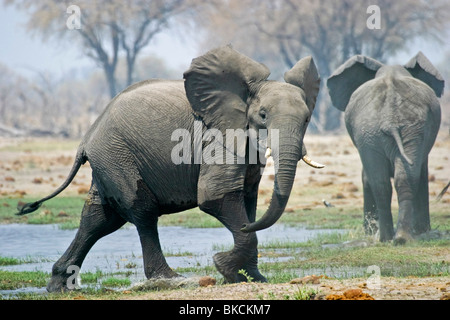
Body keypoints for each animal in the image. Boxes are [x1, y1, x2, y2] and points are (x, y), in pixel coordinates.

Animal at [16, 45, 324, 292]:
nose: (222, 258)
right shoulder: (216, 136)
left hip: (108, 160)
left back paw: (60, 286)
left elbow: (248, 199)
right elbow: (216, 197)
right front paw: (227, 269)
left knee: (99, 218)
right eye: (262, 116)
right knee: (141, 211)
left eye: (307, 119)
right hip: (117, 155)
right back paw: (170, 279)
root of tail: (86, 137)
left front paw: (253, 277)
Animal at [326, 52, 442, 242]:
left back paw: (393, 238)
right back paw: (396, 238)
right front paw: (423, 231)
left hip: (379, 131)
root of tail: (390, 117)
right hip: (389, 131)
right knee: (398, 179)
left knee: (383, 182)